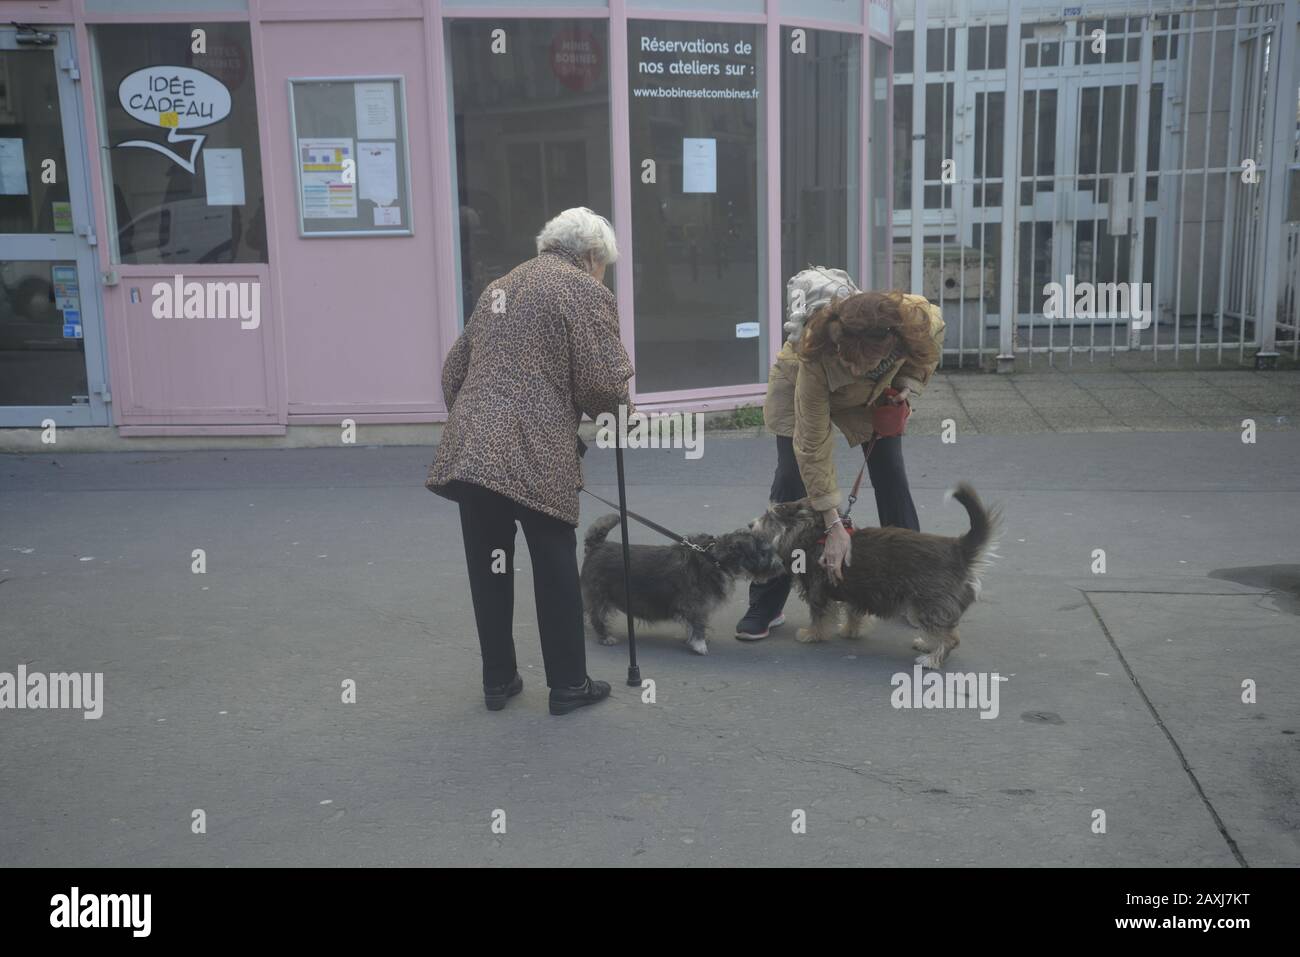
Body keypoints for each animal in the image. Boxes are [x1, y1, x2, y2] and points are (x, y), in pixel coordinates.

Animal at [585, 514, 785, 657]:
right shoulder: (696, 606)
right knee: (597, 617)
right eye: (763, 552)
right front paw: (699, 645)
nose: (781, 566)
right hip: (600, 597)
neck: (714, 559)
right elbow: (697, 626)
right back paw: (605, 637)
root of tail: (596, 546)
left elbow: (692, 626)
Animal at [748, 481, 998, 670]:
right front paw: (850, 631)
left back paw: (931, 659)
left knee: (951, 638)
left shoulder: (818, 591)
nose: (750, 524)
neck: (815, 534)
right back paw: (928, 645)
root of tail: (958, 549)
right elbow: (853, 614)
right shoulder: (856, 592)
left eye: (769, 516)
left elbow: (818, 616)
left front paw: (811, 634)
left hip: (927, 604)